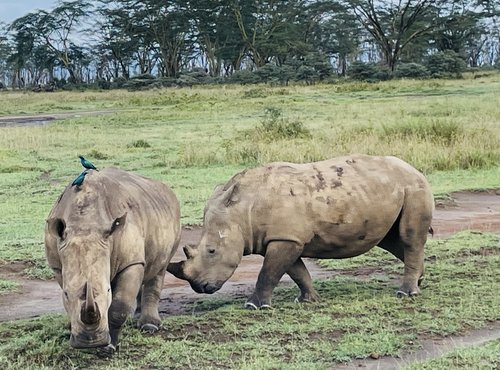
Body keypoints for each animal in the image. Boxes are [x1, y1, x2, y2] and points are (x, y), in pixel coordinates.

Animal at [45, 167, 181, 352]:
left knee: (159, 268)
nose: (89, 341)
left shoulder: (130, 261)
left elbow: (119, 306)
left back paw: (149, 326)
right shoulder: (58, 265)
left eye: (108, 291)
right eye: (65, 294)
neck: (84, 223)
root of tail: (165, 188)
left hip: (173, 217)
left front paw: (109, 346)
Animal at [169, 156, 434, 310]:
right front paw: (308, 300)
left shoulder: (285, 238)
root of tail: (415, 169)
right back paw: (419, 281)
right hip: (393, 189)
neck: (242, 208)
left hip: (414, 188)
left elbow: (268, 272)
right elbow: (296, 271)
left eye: (212, 251)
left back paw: (405, 294)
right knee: (391, 240)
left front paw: (254, 307)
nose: (200, 287)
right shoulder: (284, 237)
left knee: (408, 237)